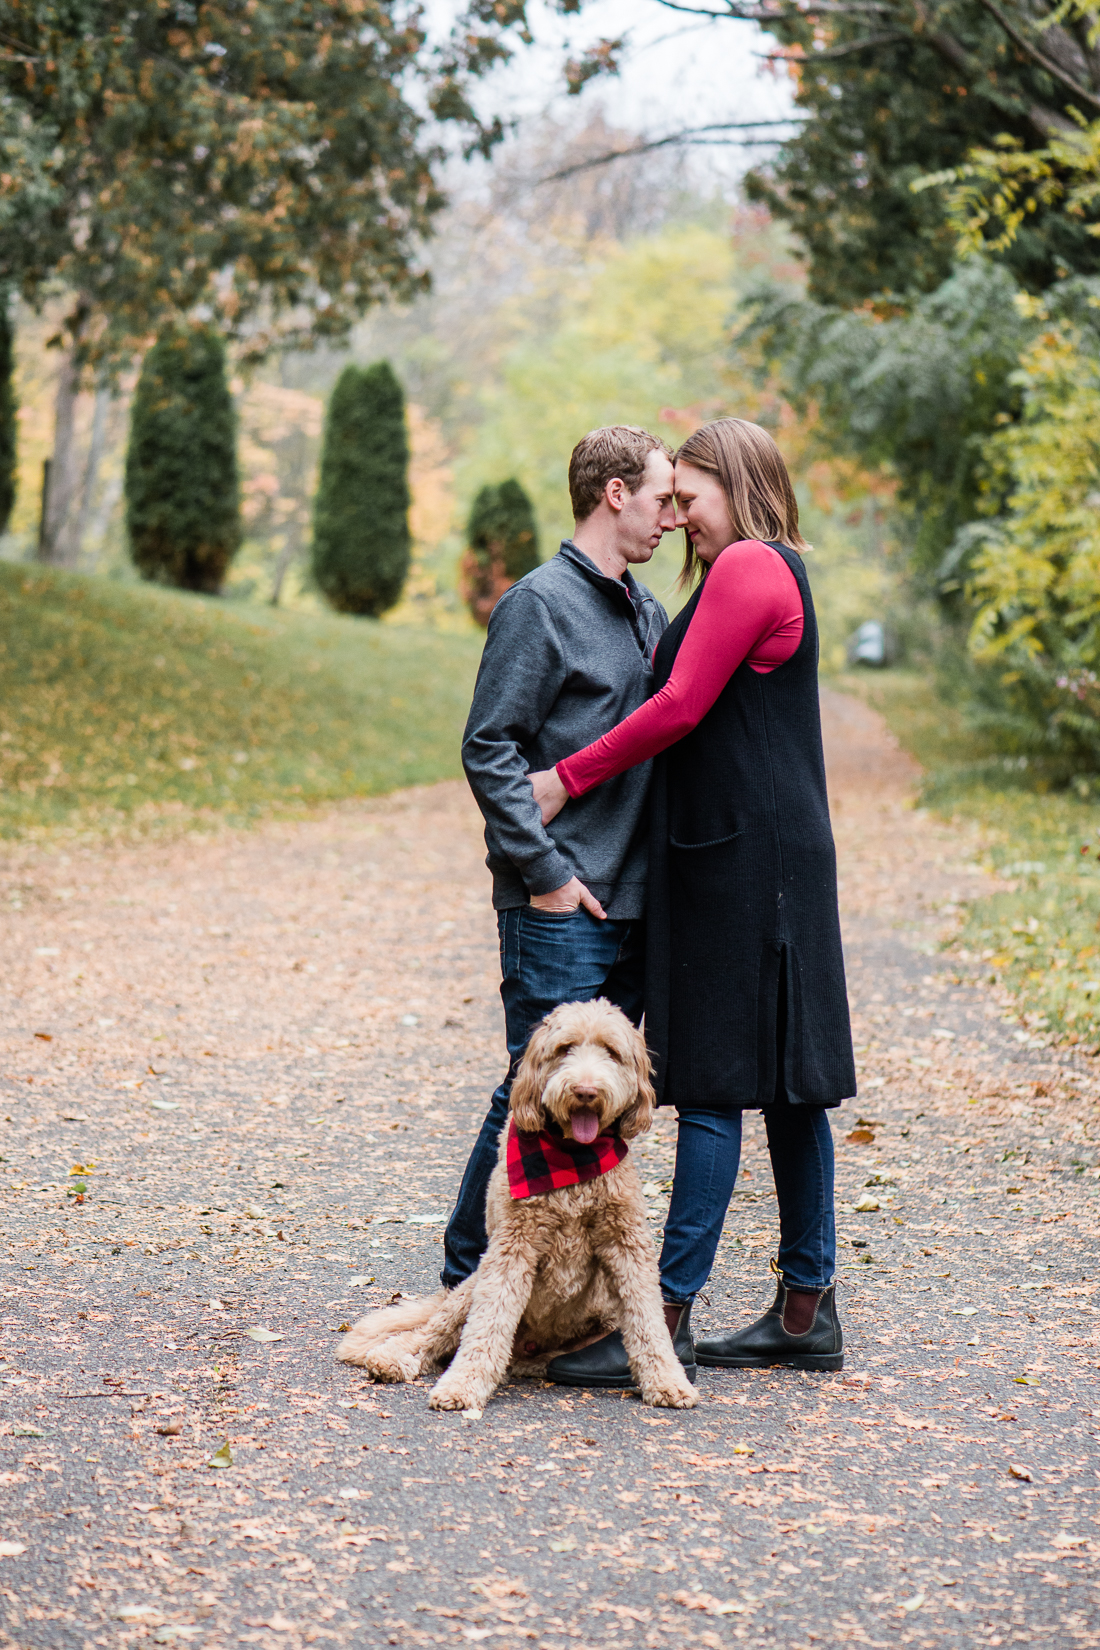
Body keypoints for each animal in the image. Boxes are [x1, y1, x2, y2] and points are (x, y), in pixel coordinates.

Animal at [336, 996, 695, 1412]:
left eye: (611, 1052)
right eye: (564, 1049)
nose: (586, 1091)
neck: (571, 1159)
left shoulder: (628, 1246)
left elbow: (650, 1320)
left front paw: (668, 1380)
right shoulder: (512, 1247)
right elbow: (488, 1324)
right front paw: (463, 1385)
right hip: (470, 1289)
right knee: (435, 1336)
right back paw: (393, 1358)